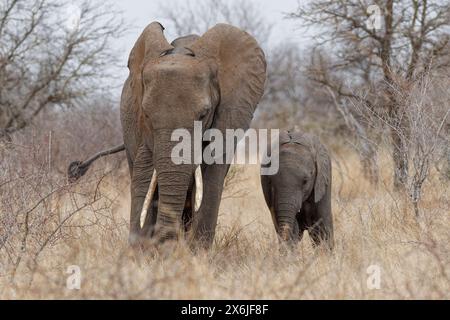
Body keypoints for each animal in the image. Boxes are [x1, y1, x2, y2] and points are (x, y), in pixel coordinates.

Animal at [68, 22, 268, 248]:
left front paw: (196, 251)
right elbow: (144, 176)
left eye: (204, 114)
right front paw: (142, 249)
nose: (74, 168)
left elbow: (211, 180)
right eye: (146, 114)